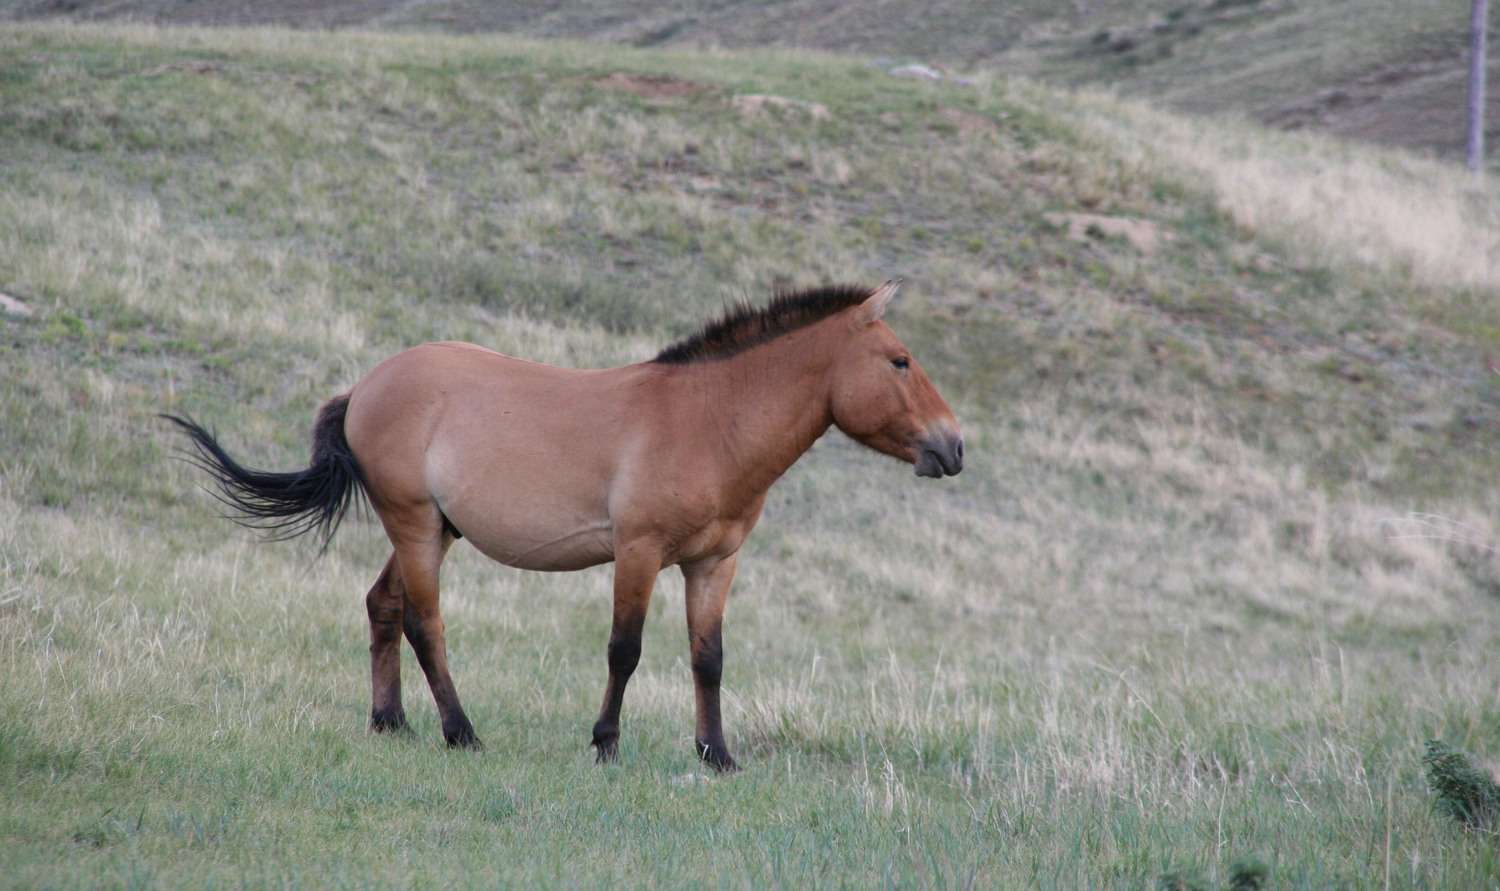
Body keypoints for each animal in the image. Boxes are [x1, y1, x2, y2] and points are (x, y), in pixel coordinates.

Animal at [164, 280, 960, 768]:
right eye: (900, 361)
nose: (953, 447)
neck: (707, 422)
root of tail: (364, 386)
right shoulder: (638, 553)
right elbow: (624, 650)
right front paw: (606, 744)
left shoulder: (714, 564)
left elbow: (708, 658)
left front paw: (718, 755)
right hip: (415, 526)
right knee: (425, 622)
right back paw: (460, 732)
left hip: (435, 530)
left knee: (382, 605)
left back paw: (391, 722)